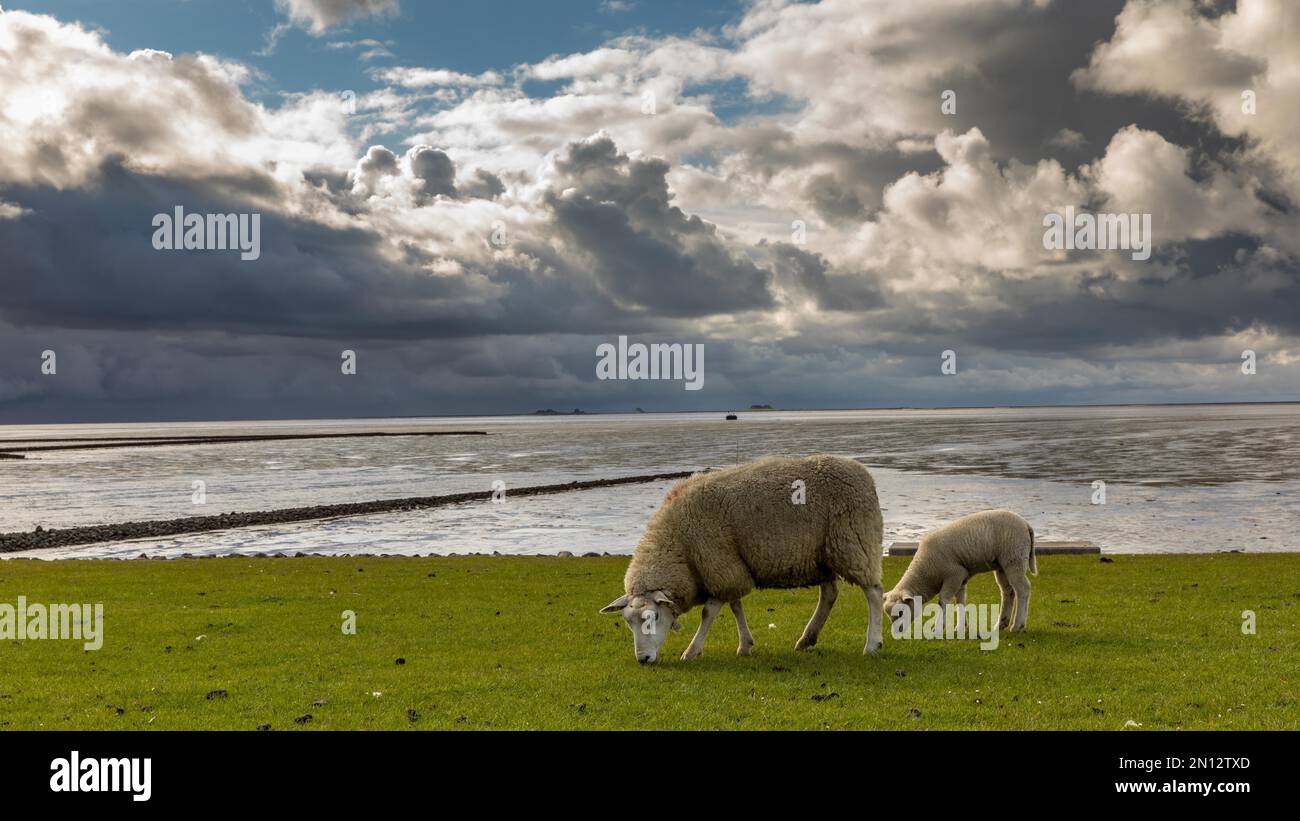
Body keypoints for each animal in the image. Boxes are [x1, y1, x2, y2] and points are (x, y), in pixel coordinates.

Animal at [598, 452, 883, 665]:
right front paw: (745, 645)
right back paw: (807, 639)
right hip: (822, 555)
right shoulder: (728, 566)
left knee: (874, 592)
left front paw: (692, 651)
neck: (678, 546)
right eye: (628, 622)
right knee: (830, 594)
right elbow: (735, 605)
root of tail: (864, 473)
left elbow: (709, 612)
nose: (643, 659)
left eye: (654, 617)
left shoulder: (719, 564)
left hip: (853, 541)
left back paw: (872, 644)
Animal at [883, 506, 1034, 633]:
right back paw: (1001, 624)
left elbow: (943, 600)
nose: (896, 632)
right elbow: (960, 600)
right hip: (1003, 565)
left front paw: (938, 628)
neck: (926, 572)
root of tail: (1026, 524)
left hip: (1014, 558)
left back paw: (1017, 625)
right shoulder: (961, 577)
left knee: (1023, 588)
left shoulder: (953, 574)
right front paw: (961, 626)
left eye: (901, 612)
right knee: (1008, 591)